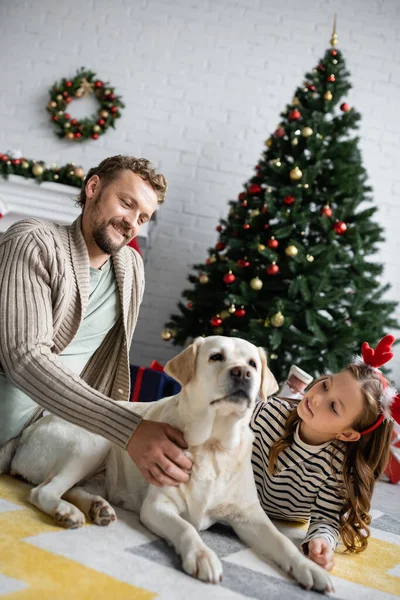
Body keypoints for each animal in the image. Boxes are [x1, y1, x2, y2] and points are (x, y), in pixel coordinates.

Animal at [3, 336, 332, 592]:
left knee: (70, 488)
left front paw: (311, 569)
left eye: (252, 363)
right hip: (94, 440)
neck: (213, 446)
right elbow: (186, 528)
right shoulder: (158, 506)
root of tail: (27, 433)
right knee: (44, 491)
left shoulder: (249, 516)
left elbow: (282, 541)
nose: (242, 373)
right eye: (216, 357)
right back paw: (67, 512)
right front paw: (202, 557)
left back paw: (98, 508)